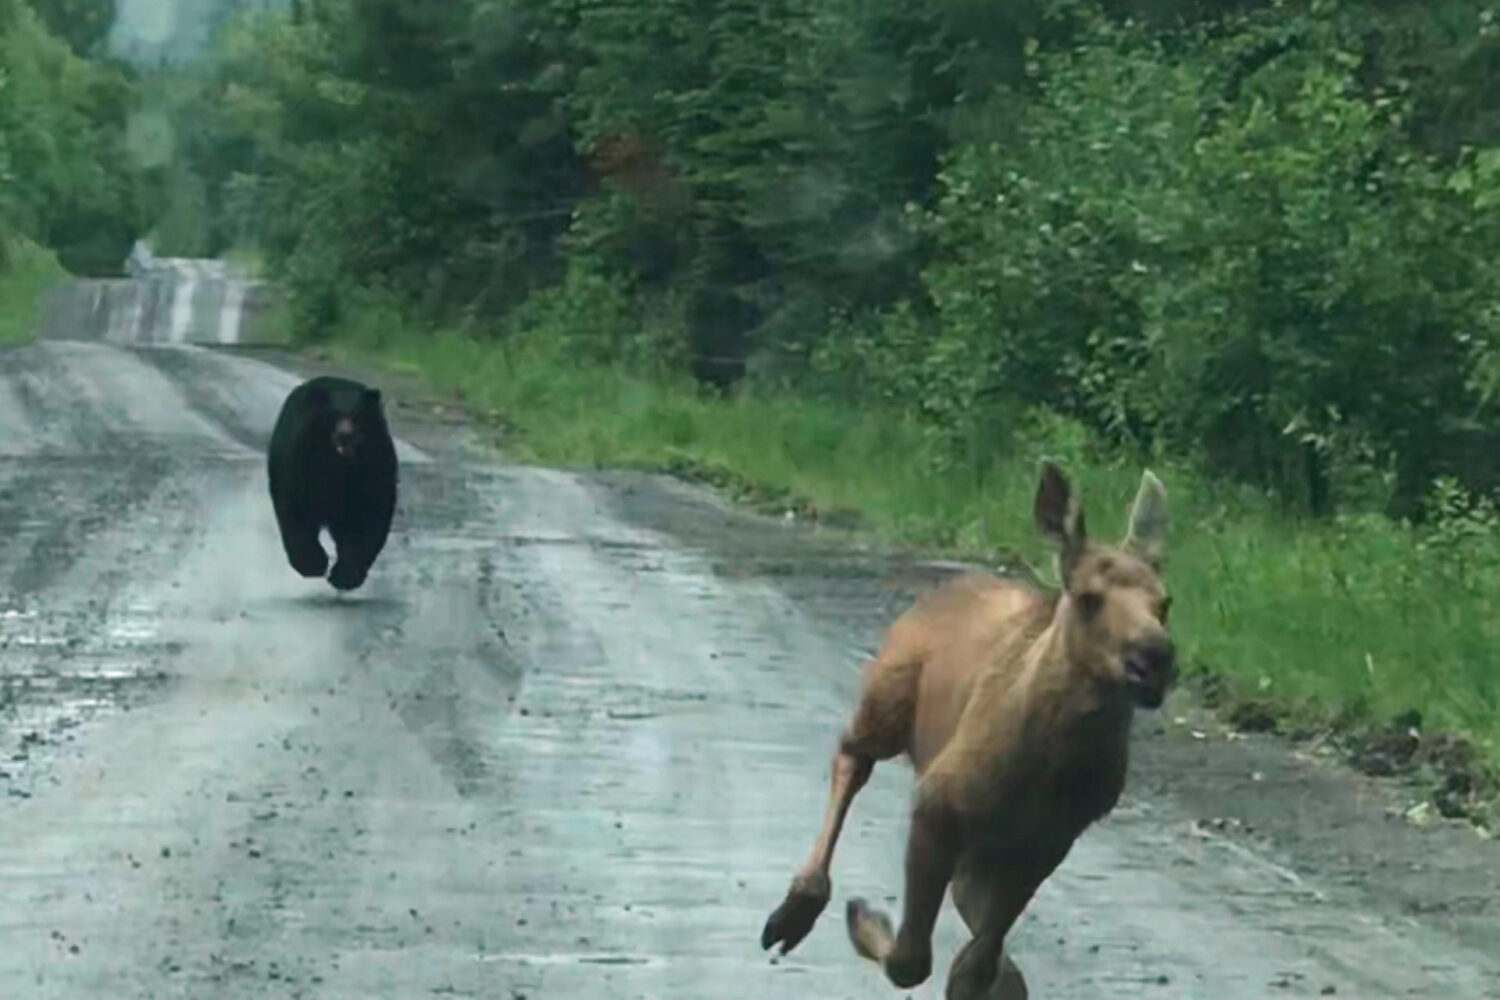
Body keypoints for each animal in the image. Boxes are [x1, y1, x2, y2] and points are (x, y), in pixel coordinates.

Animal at [267, 375, 399, 592]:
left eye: (357, 415)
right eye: (333, 415)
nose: (346, 435)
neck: (340, 464)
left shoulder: (375, 468)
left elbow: (369, 517)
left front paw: (345, 575)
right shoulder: (301, 461)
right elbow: (296, 507)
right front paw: (311, 564)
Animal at [760, 460, 1176, 999]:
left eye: (1165, 602)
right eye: (1088, 598)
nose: (1155, 658)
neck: (1051, 766)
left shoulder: (1049, 839)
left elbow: (979, 959)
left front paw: (990, 976)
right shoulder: (937, 803)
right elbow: (912, 960)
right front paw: (867, 919)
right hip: (888, 696)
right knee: (853, 755)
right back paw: (799, 909)